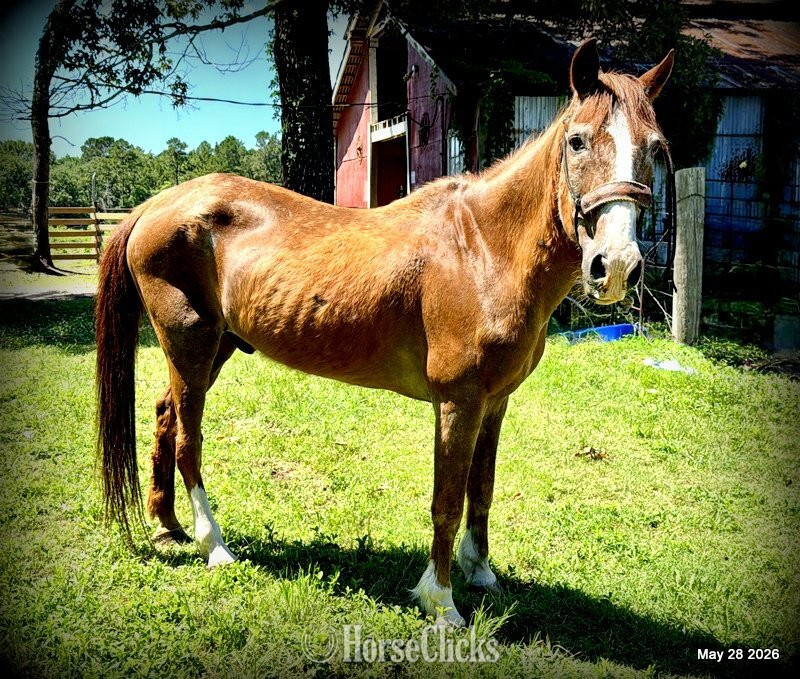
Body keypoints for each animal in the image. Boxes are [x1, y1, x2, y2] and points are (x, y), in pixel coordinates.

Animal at [96, 39, 674, 626]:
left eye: (655, 148)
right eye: (577, 141)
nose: (616, 266)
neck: (482, 249)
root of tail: (156, 205)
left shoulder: (495, 402)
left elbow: (482, 489)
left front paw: (481, 573)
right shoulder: (458, 402)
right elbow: (447, 500)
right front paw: (441, 601)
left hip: (215, 348)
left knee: (165, 418)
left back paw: (168, 527)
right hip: (190, 344)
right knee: (188, 439)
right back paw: (213, 545)